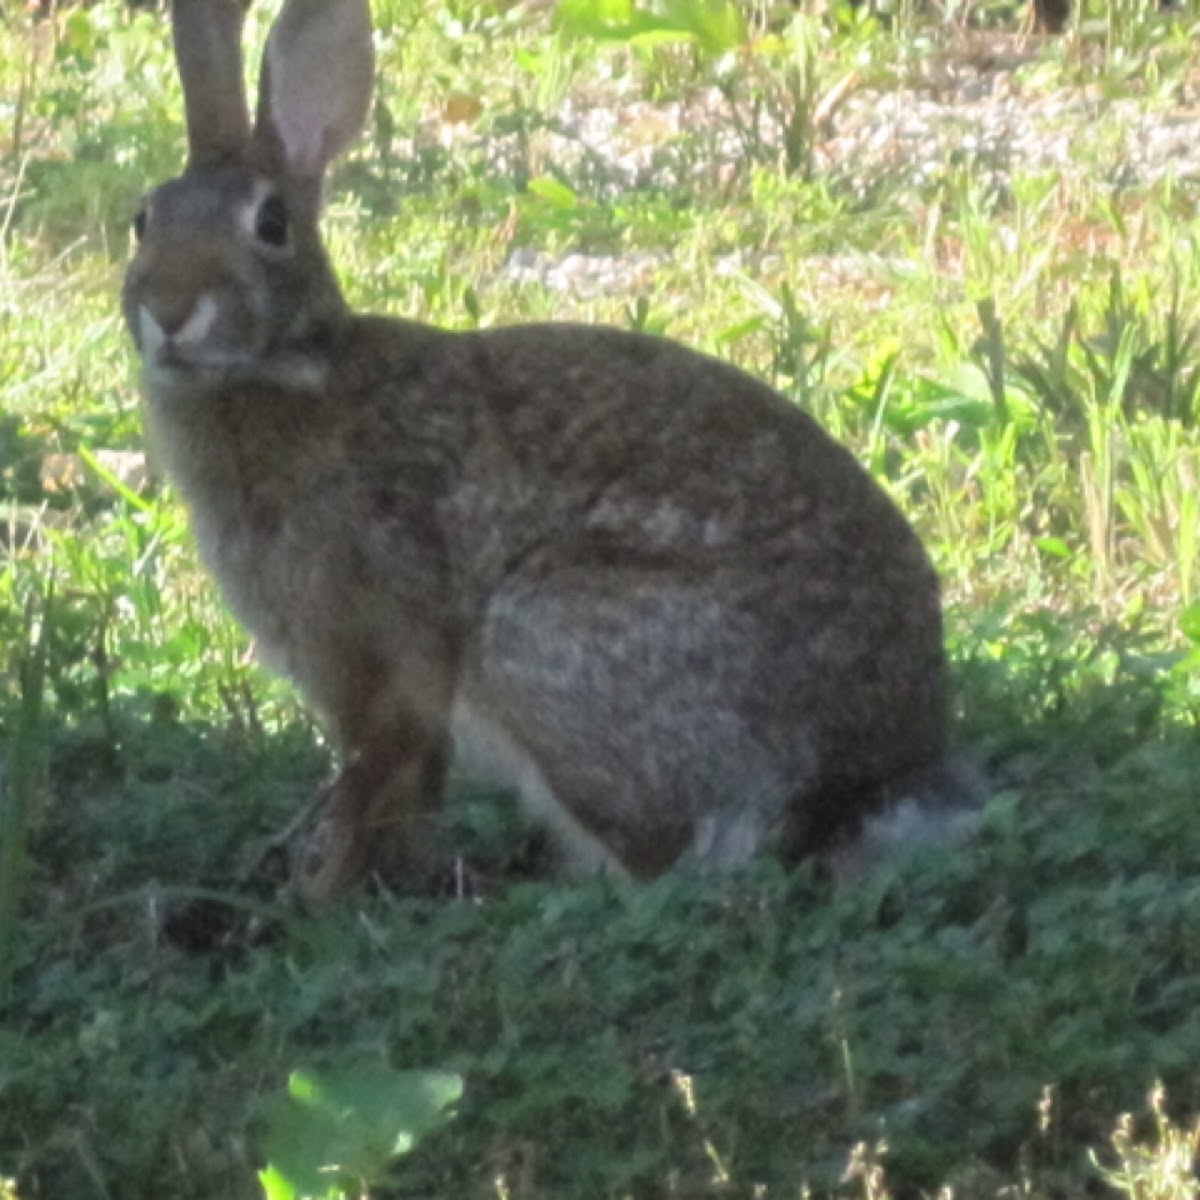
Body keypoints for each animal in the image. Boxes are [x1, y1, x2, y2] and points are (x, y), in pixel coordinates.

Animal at [121, 0, 964, 902]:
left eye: (271, 225)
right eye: (144, 219)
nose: (169, 309)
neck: (289, 368)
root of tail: (870, 782)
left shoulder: (380, 656)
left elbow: (371, 782)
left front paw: (317, 898)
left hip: (541, 639)